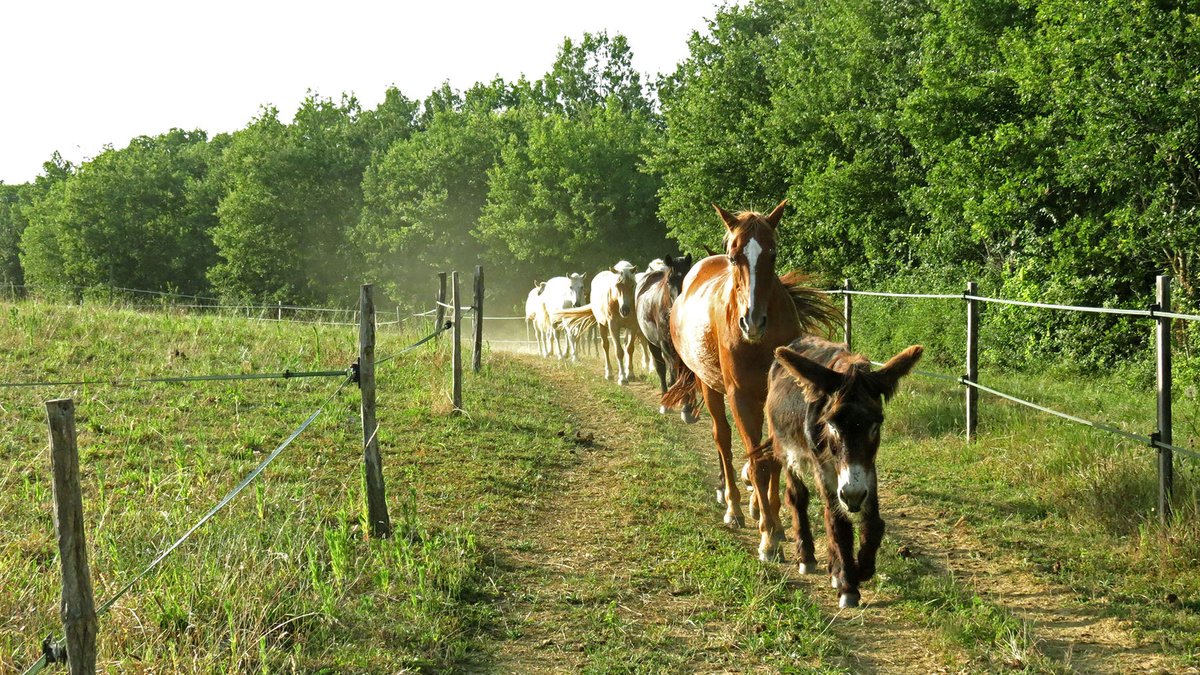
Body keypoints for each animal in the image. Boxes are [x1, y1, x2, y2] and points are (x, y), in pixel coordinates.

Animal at [635, 254, 698, 422]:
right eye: (669, 281)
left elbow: (688, 374)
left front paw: (688, 408)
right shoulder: (665, 345)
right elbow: (677, 373)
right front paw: (684, 405)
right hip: (653, 344)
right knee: (661, 369)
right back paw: (665, 401)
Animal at [662, 200, 840, 529]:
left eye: (773, 254)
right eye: (734, 257)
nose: (753, 322)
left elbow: (772, 458)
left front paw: (770, 515)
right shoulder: (740, 395)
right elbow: (756, 459)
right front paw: (769, 531)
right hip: (710, 388)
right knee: (723, 438)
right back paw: (733, 505)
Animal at [754, 337, 922, 608]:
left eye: (876, 424)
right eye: (831, 424)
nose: (852, 496)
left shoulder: (867, 470)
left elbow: (872, 522)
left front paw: (861, 568)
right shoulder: (823, 467)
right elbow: (838, 523)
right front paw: (848, 585)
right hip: (787, 451)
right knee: (798, 497)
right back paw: (807, 557)